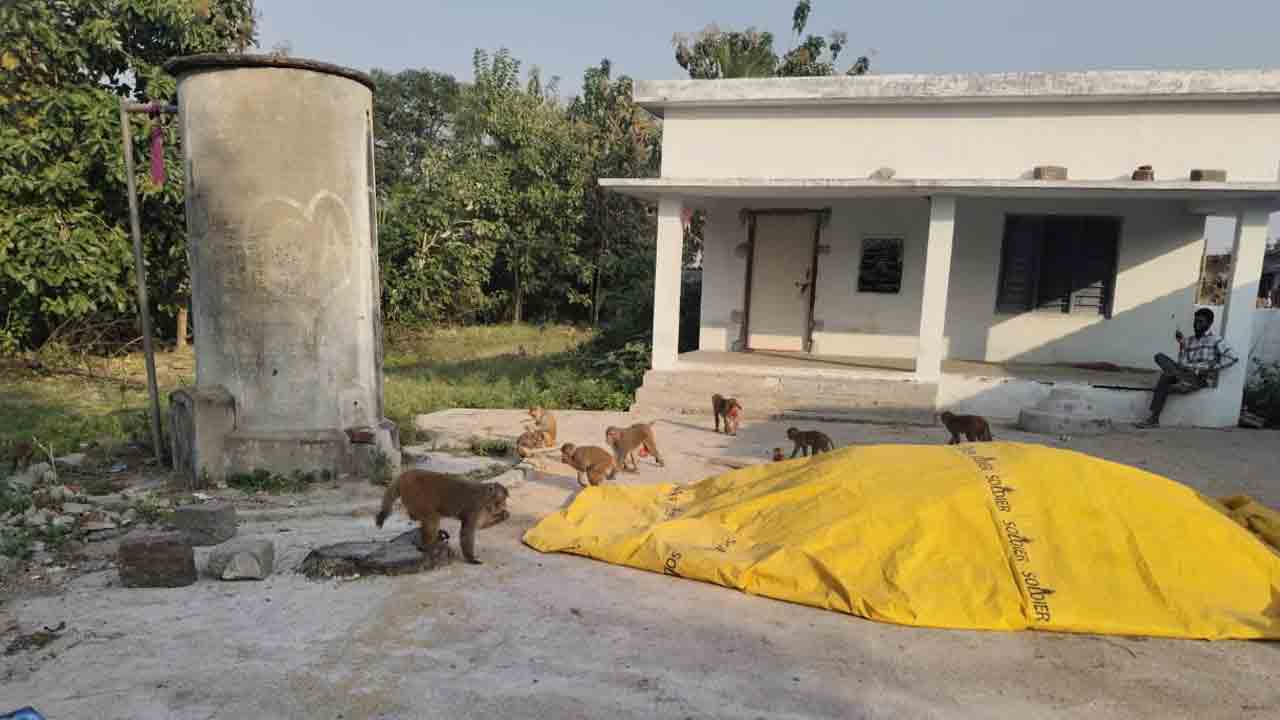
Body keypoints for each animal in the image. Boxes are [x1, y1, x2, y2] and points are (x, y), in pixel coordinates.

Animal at [375, 470, 510, 565]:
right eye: (501, 500)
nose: (504, 505)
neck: (485, 497)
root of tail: (405, 475)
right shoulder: (476, 506)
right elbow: (467, 532)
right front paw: (472, 558)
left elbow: (480, 526)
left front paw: (504, 515)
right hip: (415, 493)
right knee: (432, 517)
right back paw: (426, 546)